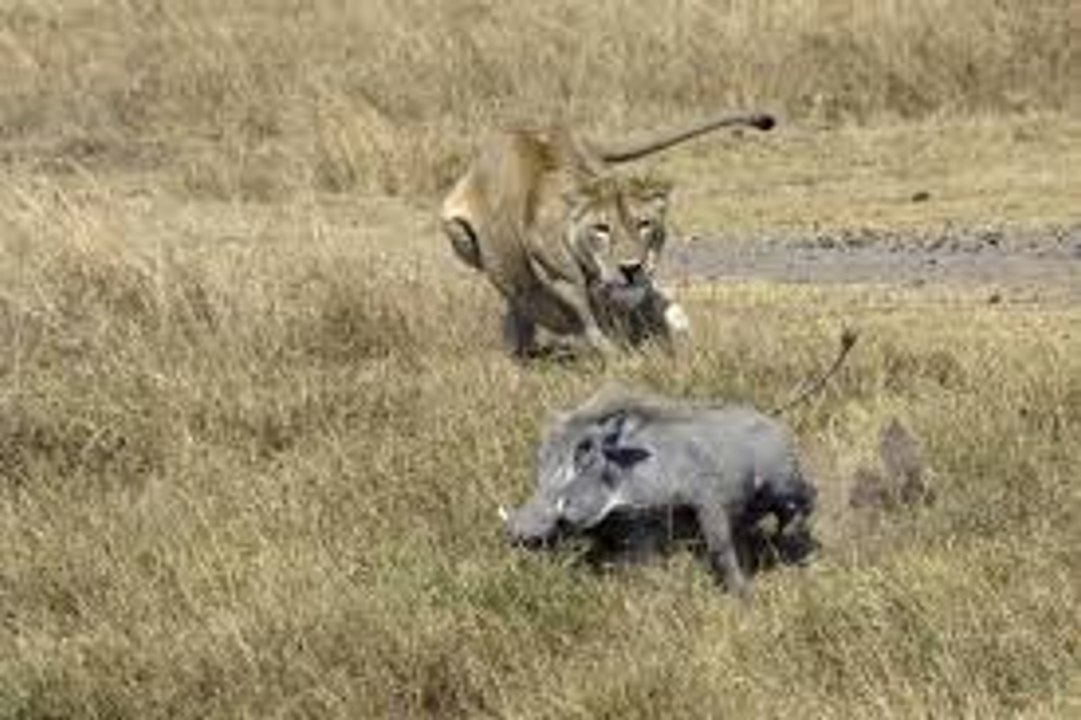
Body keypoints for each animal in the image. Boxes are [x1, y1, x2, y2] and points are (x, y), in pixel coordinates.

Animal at [441, 111, 775, 357]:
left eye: (644, 224)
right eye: (602, 229)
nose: (630, 268)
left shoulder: (643, 284)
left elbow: (655, 304)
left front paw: (675, 331)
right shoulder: (560, 278)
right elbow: (590, 321)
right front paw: (621, 353)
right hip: (457, 228)